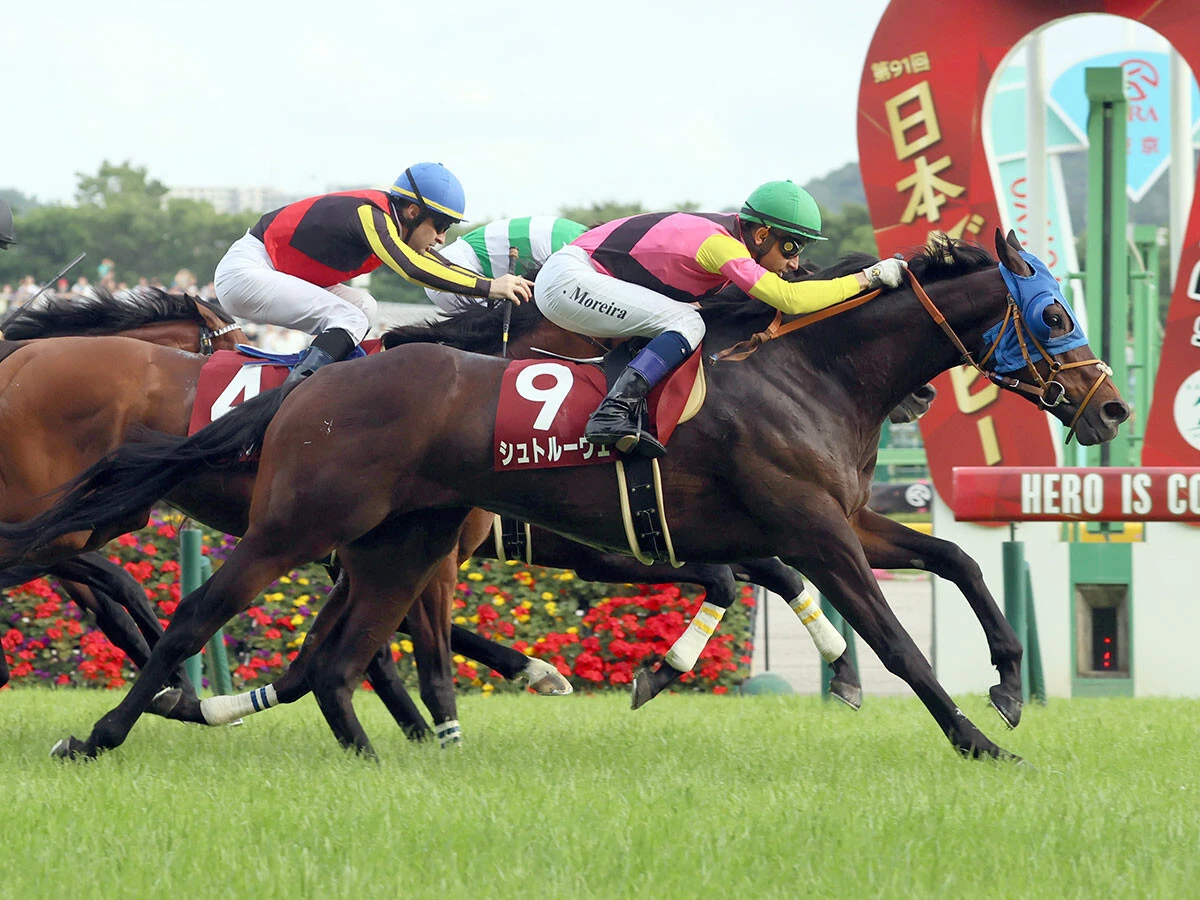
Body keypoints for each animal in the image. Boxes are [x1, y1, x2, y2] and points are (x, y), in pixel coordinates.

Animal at [8, 230, 1130, 761]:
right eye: (1054, 311)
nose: (1113, 407)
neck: (807, 369)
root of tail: (319, 380)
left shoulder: (839, 516)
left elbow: (954, 559)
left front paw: (1009, 684)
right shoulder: (808, 527)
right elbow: (890, 637)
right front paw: (977, 738)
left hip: (390, 539)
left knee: (326, 655)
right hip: (300, 524)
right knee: (191, 612)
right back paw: (105, 732)